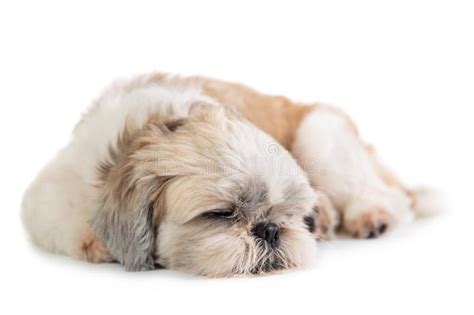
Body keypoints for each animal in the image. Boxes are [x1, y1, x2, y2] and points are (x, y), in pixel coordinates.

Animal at [23, 73, 436, 278]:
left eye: (289, 214)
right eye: (221, 214)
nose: (269, 229)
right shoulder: (48, 196)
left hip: (320, 131)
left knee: (392, 196)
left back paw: (370, 216)